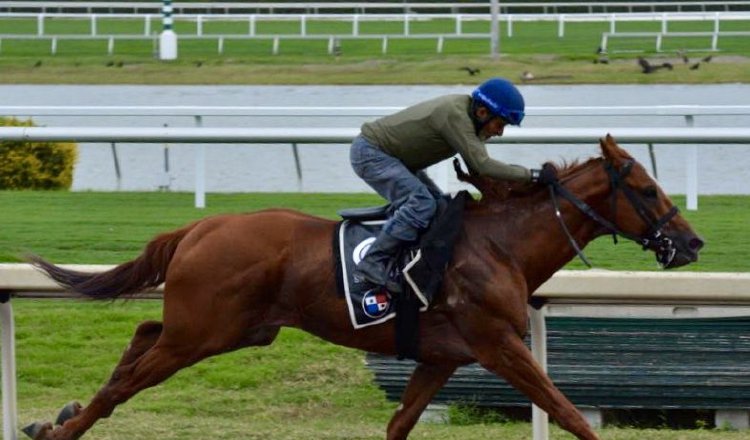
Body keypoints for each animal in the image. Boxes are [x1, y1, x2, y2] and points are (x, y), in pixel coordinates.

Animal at [25, 135, 704, 440]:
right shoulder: (498, 344)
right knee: (128, 381)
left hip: (234, 330)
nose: (692, 243)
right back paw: (62, 427)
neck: (499, 245)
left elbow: (400, 423)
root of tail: (200, 226)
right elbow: (566, 412)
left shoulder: (440, 357)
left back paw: (60, 415)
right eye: (646, 190)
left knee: (143, 332)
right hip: (202, 333)